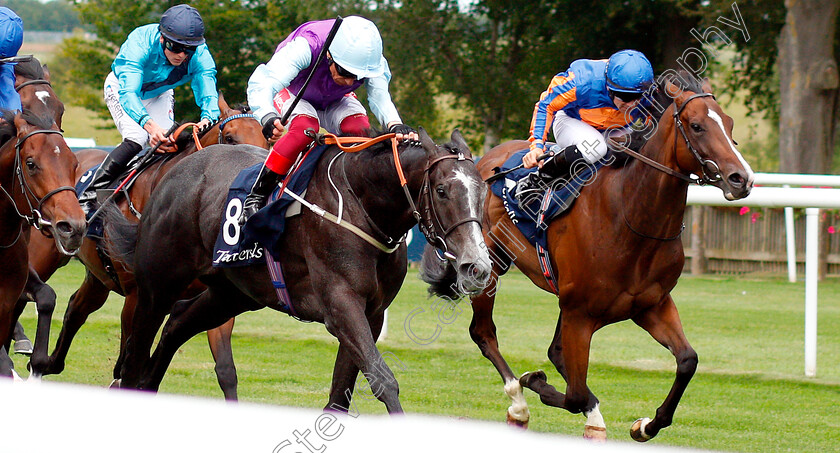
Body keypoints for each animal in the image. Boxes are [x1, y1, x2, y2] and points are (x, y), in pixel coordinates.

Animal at [23, 96, 268, 396]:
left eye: (266, 136)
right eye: (231, 137)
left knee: (76, 309)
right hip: (45, 256)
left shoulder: (217, 296)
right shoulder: (139, 295)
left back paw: (48, 363)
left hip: (98, 278)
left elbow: (225, 371)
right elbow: (130, 358)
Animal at [112, 128, 492, 414]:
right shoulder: (341, 305)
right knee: (134, 355)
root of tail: (175, 171)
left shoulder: (371, 313)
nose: (477, 266)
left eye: (483, 192)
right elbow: (383, 379)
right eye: (441, 190)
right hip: (156, 286)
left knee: (176, 325)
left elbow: (341, 395)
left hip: (232, 294)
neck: (359, 203)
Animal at [420, 76, 756, 440]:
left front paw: (645, 425)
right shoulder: (580, 314)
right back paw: (518, 405)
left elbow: (687, 361)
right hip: (487, 268)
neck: (630, 217)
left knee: (553, 351)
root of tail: (482, 162)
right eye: (696, 126)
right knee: (484, 333)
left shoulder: (651, 305)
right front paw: (536, 382)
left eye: (730, 123)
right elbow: (575, 394)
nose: (742, 178)